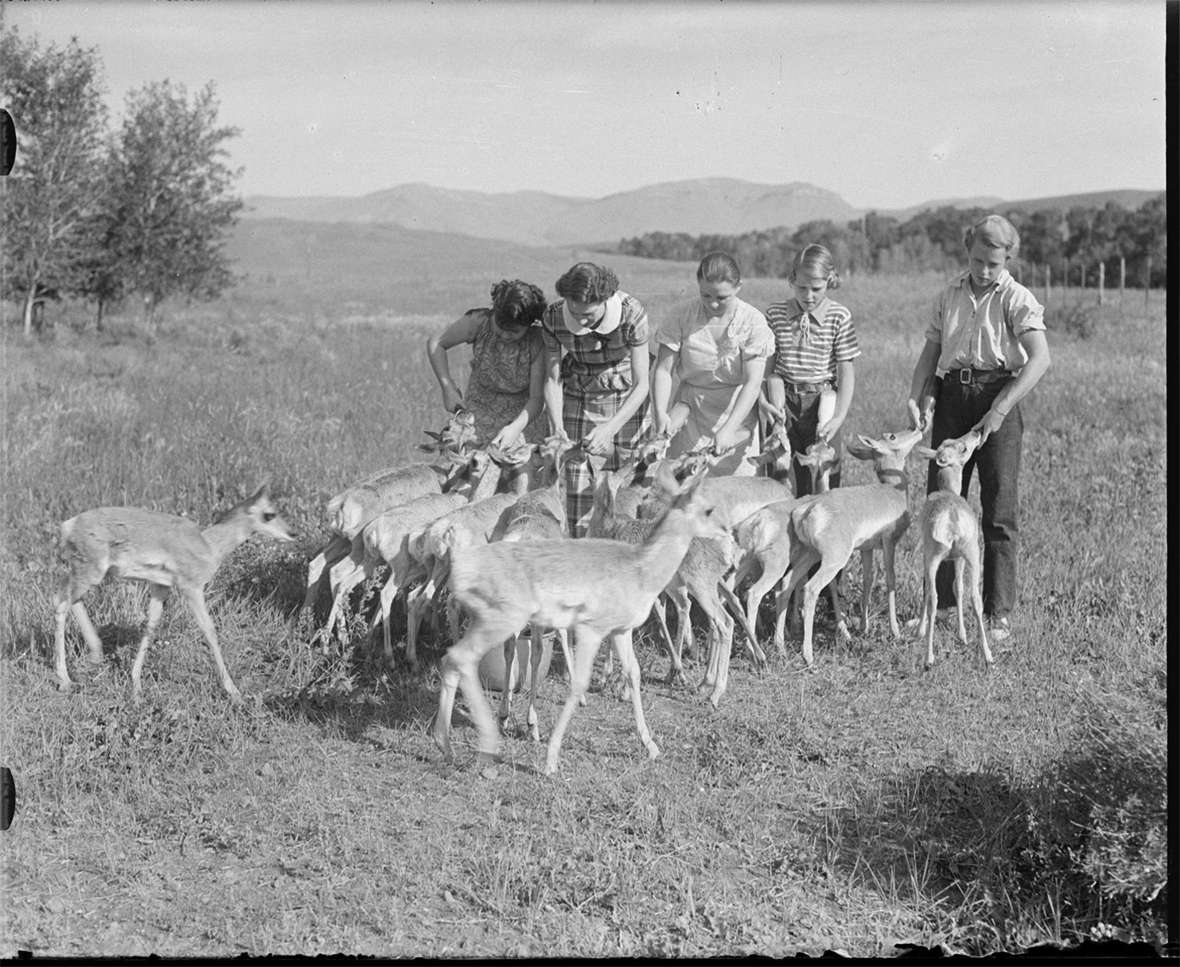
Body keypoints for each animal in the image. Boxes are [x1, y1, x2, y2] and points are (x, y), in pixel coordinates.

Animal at [53, 484, 297, 703]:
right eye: (269, 514)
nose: (293, 533)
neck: (208, 544)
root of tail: (68, 525)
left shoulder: (161, 588)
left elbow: (150, 627)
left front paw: (136, 686)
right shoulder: (192, 589)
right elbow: (209, 631)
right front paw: (234, 692)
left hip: (89, 575)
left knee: (71, 599)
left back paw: (95, 655)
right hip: (90, 573)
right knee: (61, 603)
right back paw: (65, 680)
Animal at [436, 462, 722, 779]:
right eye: (708, 509)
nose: (725, 533)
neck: (640, 568)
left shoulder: (620, 630)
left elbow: (633, 673)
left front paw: (651, 747)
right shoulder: (591, 630)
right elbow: (579, 682)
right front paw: (550, 760)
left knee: (459, 658)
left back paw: (454, 743)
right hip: (501, 622)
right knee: (464, 658)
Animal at [774, 429, 929, 665]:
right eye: (892, 436)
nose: (918, 431)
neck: (891, 490)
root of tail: (808, 508)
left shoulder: (867, 548)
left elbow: (867, 580)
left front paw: (864, 627)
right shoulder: (889, 543)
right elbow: (891, 579)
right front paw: (895, 631)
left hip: (809, 555)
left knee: (786, 585)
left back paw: (781, 646)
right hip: (833, 560)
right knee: (810, 588)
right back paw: (808, 656)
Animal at [910, 432, 995, 670]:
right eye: (962, 447)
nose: (976, 433)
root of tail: (953, 516)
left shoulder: (937, 557)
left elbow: (938, 590)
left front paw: (920, 632)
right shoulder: (958, 558)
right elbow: (958, 588)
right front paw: (962, 635)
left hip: (936, 558)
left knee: (934, 597)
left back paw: (929, 658)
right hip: (972, 554)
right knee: (974, 597)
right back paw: (986, 654)